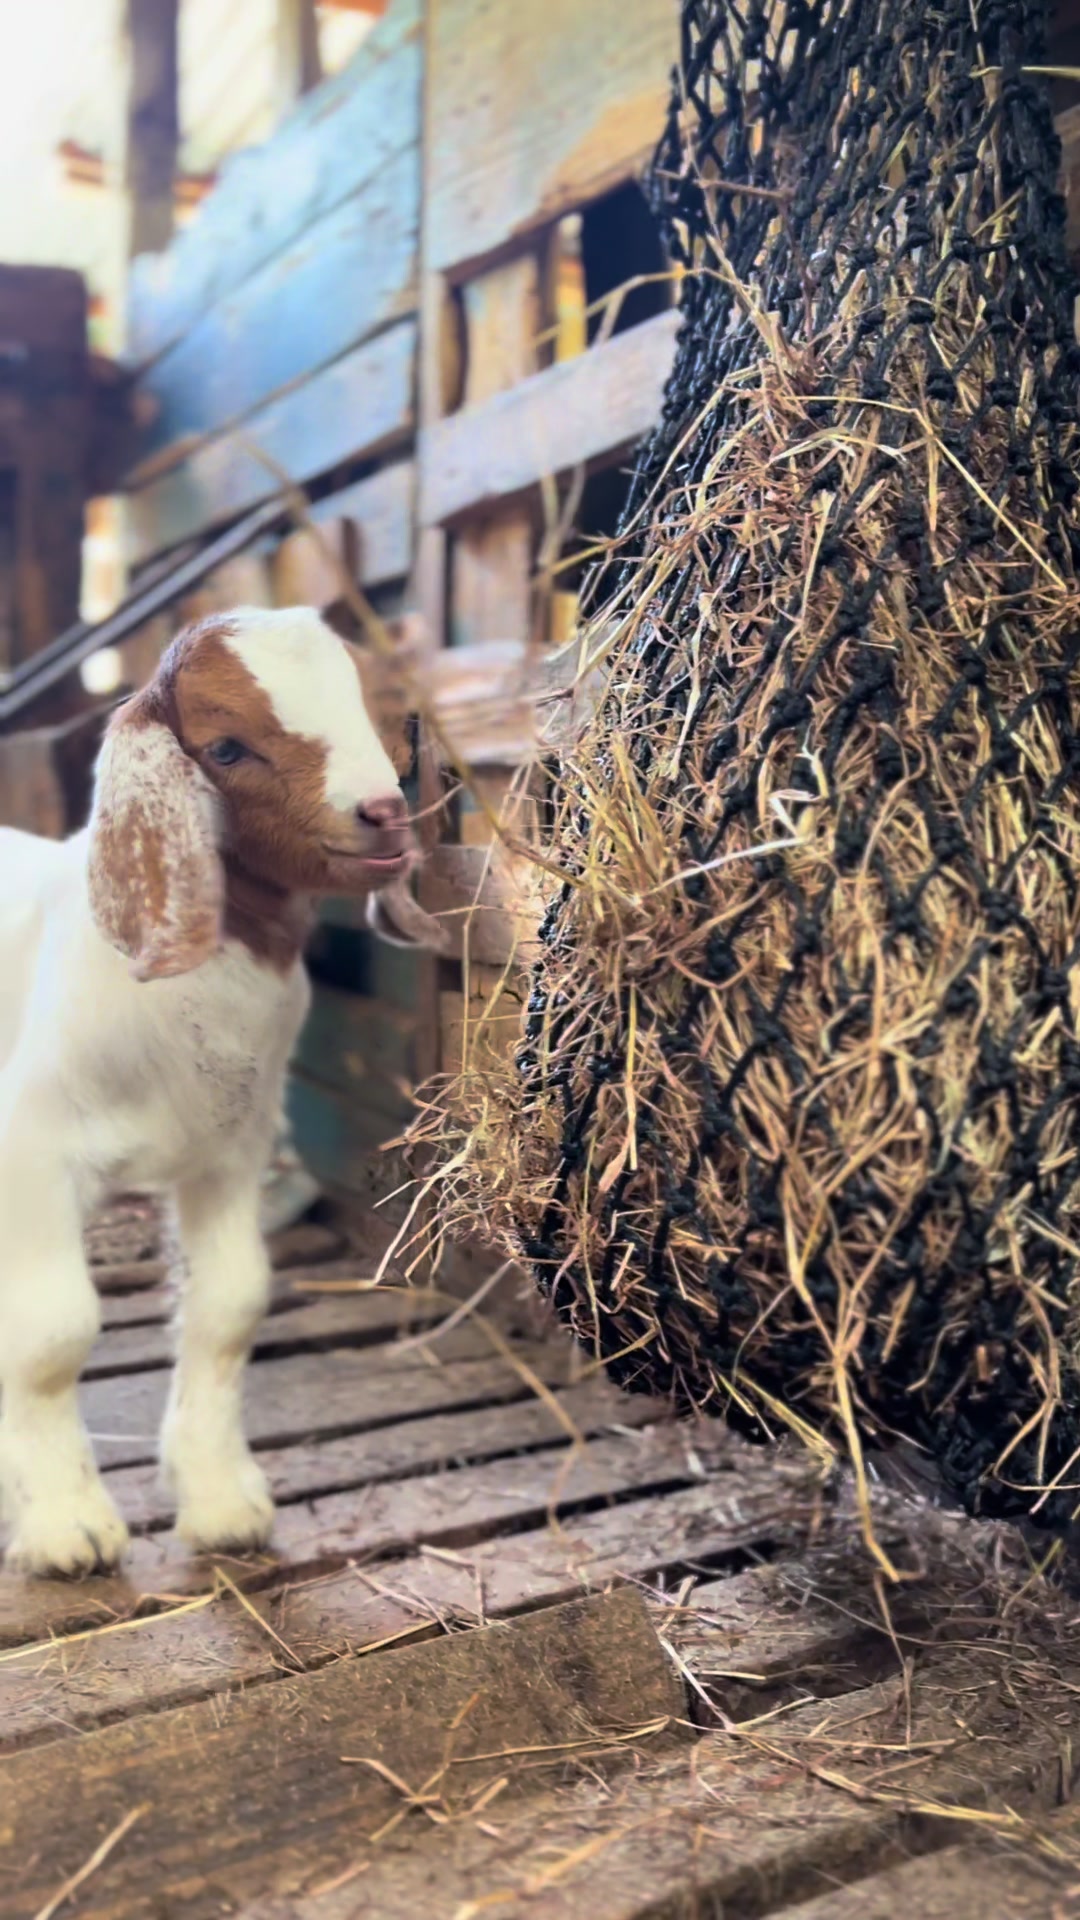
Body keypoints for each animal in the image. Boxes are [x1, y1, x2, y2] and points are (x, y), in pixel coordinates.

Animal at [0, 605, 418, 1577]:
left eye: (385, 715)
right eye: (227, 747)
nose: (383, 813)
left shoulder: (229, 1153)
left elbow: (231, 1306)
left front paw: (222, 1501)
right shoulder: (30, 1155)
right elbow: (53, 1332)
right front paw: (66, 1523)